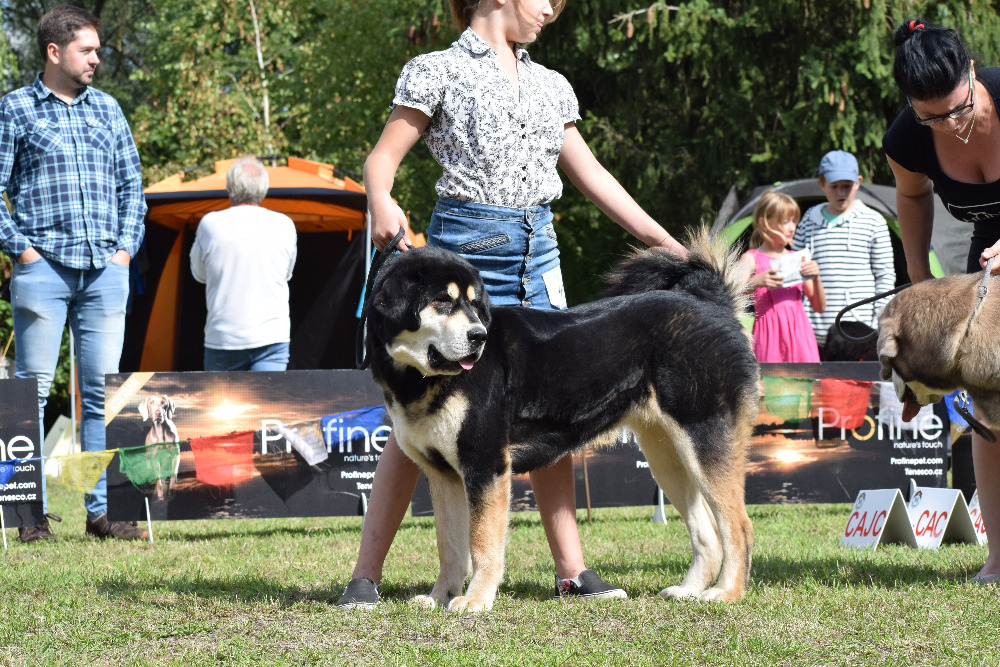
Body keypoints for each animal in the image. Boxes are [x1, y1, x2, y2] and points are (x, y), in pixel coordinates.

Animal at [362, 232, 756, 612]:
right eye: (443, 301)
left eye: (474, 305)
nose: (479, 336)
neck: (420, 379)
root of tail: (710, 302)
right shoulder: (443, 475)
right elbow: (450, 548)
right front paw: (439, 598)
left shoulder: (486, 465)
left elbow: (481, 543)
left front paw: (476, 600)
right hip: (667, 457)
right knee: (706, 533)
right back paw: (688, 591)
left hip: (703, 441)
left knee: (738, 526)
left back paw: (726, 593)